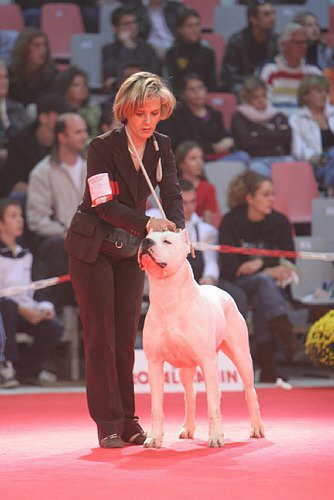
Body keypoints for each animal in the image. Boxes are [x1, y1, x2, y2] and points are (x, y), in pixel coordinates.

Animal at [138, 231, 264, 450]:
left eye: (167, 241)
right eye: (148, 236)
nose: (146, 242)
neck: (168, 297)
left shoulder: (208, 361)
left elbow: (213, 405)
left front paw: (215, 438)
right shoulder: (154, 363)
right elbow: (156, 406)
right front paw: (154, 438)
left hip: (241, 356)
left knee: (249, 391)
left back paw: (256, 428)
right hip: (185, 368)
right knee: (190, 395)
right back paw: (188, 428)